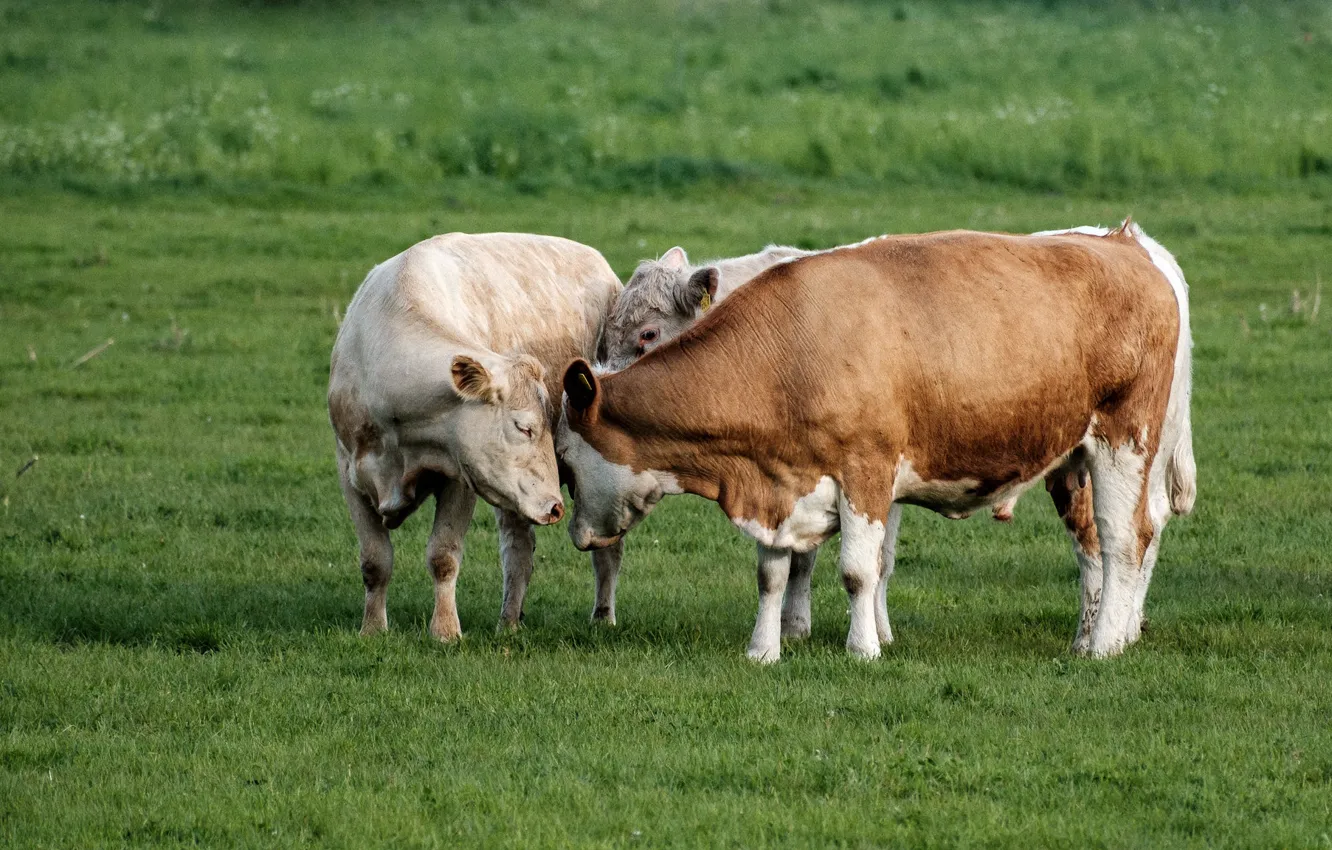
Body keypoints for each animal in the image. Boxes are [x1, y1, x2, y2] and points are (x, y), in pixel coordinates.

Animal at [329, 232, 624, 641]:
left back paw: (603, 616)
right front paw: (372, 629)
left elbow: (443, 555)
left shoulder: (460, 480)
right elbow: (375, 561)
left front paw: (445, 631)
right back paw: (509, 621)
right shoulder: (349, 473)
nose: (554, 507)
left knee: (606, 547)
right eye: (524, 427)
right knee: (519, 549)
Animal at [557, 221, 1195, 662]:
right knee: (1105, 545)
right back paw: (1107, 632)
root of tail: (1128, 245)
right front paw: (764, 650)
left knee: (1124, 540)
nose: (577, 535)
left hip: (1124, 444)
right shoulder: (779, 479)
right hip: (1076, 459)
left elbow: (860, 570)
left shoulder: (866, 472)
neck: (787, 354)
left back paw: (1104, 643)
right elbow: (773, 573)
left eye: (566, 461)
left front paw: (862, 647)